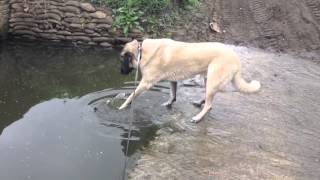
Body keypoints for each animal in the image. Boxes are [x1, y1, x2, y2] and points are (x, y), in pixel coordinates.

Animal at [117, 38, 260, 123]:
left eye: (122, 60)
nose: (120, 72)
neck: (141, 51)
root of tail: (237, 59)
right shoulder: (172, 80)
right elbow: (173, 95)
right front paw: (168, 104)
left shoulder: (146, 83)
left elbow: (131, 96)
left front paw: (122, 107)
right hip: (207, 79)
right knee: (208, 99)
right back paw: (199, 103)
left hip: (212, 80)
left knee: (209, 105)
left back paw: (198, 117)